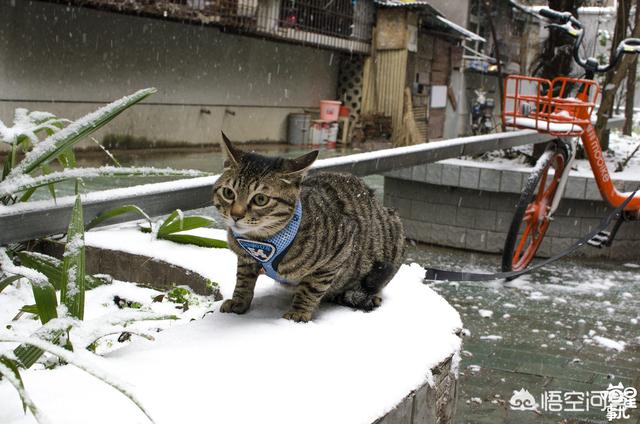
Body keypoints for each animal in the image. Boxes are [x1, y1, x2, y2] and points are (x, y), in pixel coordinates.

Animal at [214, 132, 404, 322]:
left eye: (260, 199)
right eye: (228, 193)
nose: (236, 215)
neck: (259, 241)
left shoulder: (340, 250)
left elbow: (312, 287)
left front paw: (298, 312)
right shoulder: (245, 259)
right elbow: (243, 279)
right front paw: (238, 301)